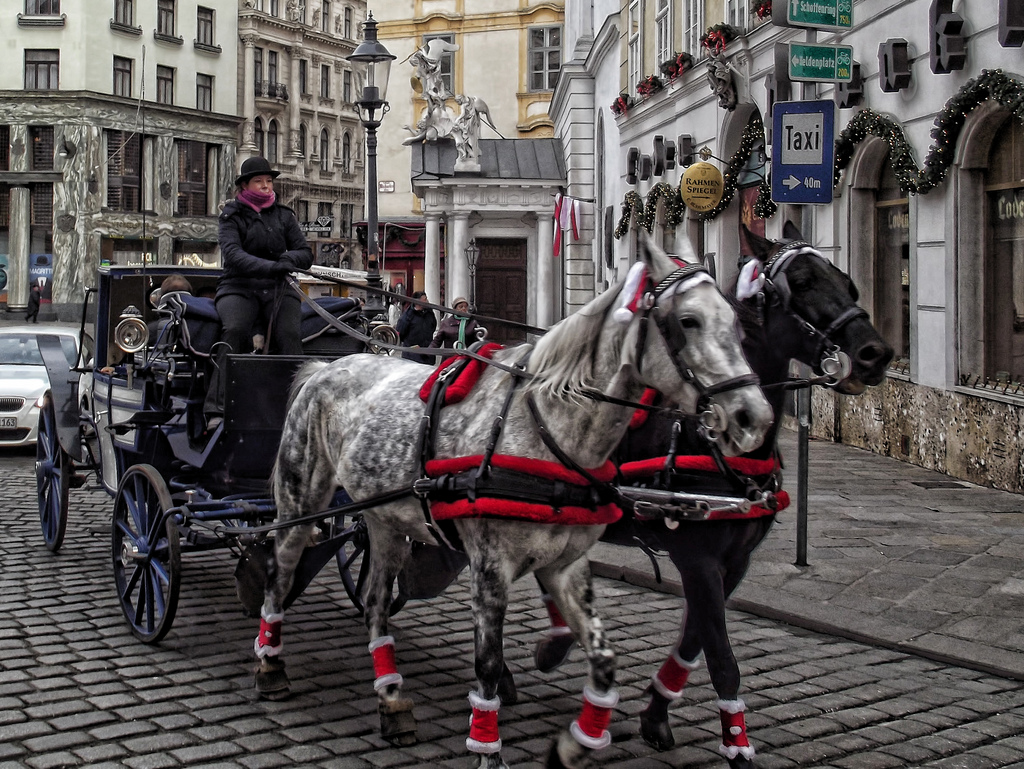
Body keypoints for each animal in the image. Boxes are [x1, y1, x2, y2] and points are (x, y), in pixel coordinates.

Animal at [258, 237, 774, 765]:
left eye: (735, 321)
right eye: (688, 321)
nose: (753, 416)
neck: (548, 430)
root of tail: (327, 366)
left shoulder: (569, 565)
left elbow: (606, 661)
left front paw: (576, 743)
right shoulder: (491, 567)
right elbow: (487, 663)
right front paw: (489, 749)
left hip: (384, 521)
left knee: (375, 602)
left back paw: (392, 700)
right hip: (302, 499)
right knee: (280, 573)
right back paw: (271, 667)